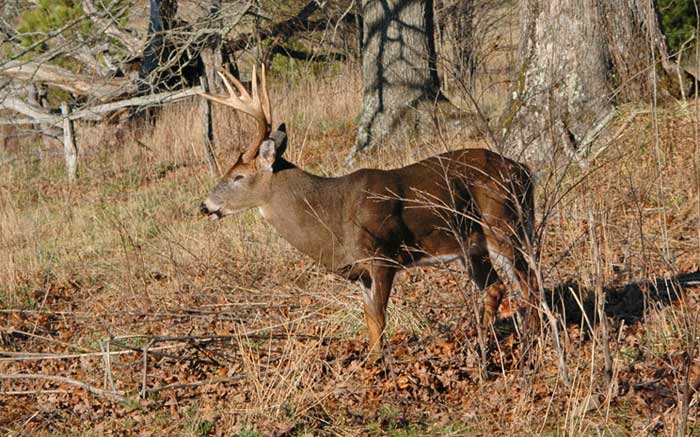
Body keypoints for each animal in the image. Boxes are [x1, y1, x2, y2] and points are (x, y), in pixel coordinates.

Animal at [200, 66, 540, 356]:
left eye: (237, 176)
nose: (205, 206)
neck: (334, 216)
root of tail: (524, 171)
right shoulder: (361, 272)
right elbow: (369, 321)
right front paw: (373, 361)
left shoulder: (382, 256)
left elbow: (380, 317)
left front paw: (379, 369)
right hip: (473, 246)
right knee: (497, 287)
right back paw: (487, 345)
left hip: (502, 225)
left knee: (528, 282)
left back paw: (530, 342)